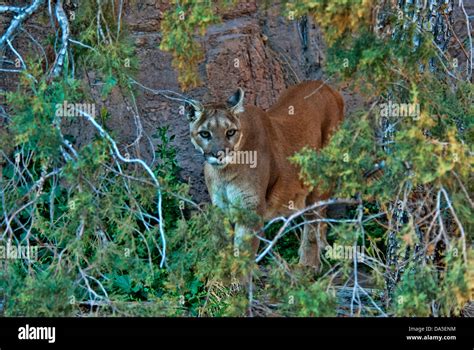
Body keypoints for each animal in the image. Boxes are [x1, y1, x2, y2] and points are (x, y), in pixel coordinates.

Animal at [185, 80, 344, 270]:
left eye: (230, 132)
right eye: (205, 134)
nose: (219, 154)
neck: (224, 172)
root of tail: (326, 86)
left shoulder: (250, 209)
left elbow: (242, 256)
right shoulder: (221, 208)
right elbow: (223, 250)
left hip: (321, 175)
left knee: (313, 219)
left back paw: (308, 266)